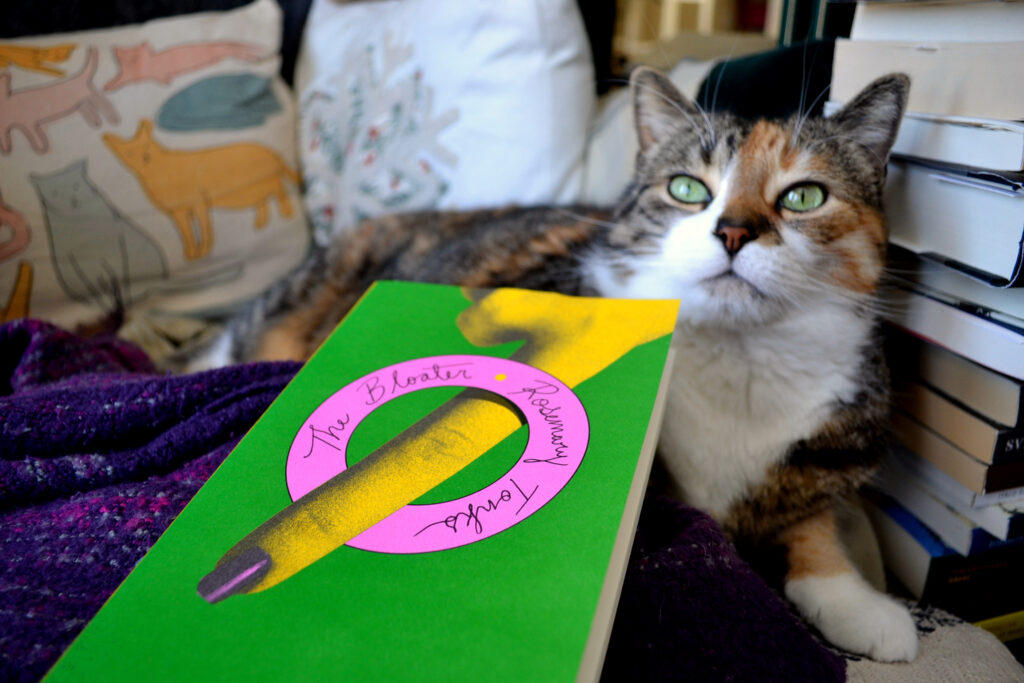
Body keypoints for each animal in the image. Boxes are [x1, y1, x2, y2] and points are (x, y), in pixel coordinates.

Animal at [105, 118, 301, 260]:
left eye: (147, 146)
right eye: (129, 153)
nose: (146, 157)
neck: (159, 172)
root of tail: (270, 151)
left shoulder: (198, 202)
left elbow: (205, 230)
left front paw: (204, 251)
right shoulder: (178, 212)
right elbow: (187, 235)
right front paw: (192, 255)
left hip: (262, 180)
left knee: (279, 187)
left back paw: (287, 213)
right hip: (253, 188)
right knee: (265, 198)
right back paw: (261, 223)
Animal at [197, 66, 913, 659]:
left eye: (804, 197)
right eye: (687, 189)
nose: (734, 230)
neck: (740, 357)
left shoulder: (825, 453)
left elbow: (814, 521)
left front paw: (856, 601)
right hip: (294, 305)